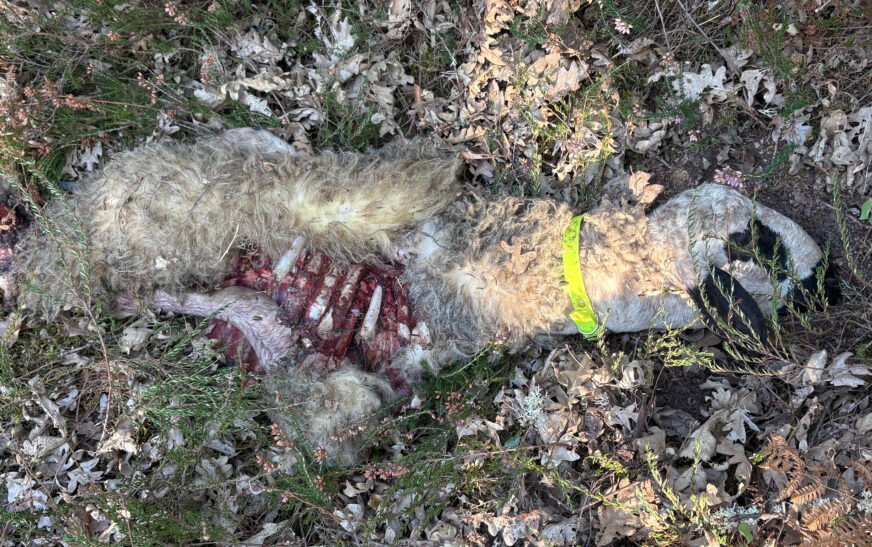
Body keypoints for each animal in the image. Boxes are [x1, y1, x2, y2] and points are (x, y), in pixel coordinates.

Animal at [13, 128, 832, 464]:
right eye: (762, 243)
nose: (826, 285)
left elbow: (333, 405)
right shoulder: (396, 210)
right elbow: (364, 198)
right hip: (166, 205)